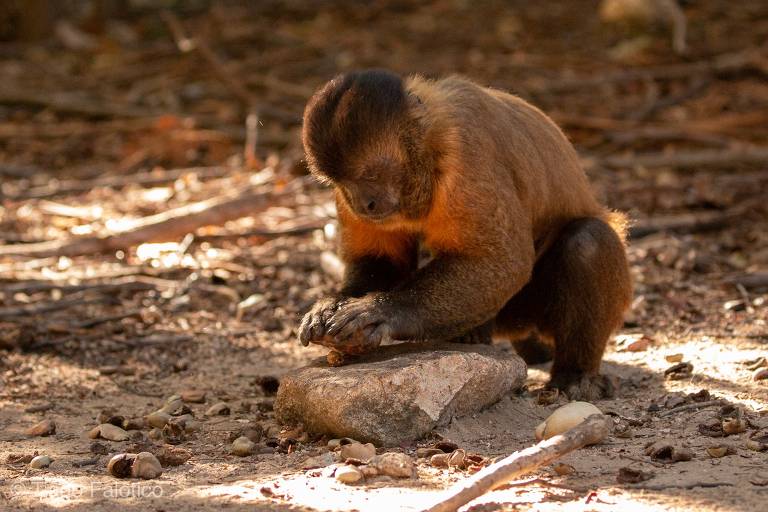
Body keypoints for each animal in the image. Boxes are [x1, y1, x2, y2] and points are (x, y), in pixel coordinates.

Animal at [296, 71, 632, 400]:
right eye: (342, 182)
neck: (431, 148)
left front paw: (385, 311)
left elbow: (503, 261)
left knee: (588, 241)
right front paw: (329, 305)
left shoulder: (466, 154)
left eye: (371, 175)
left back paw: (575, 374)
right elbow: (381, 261)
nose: (362, 203)